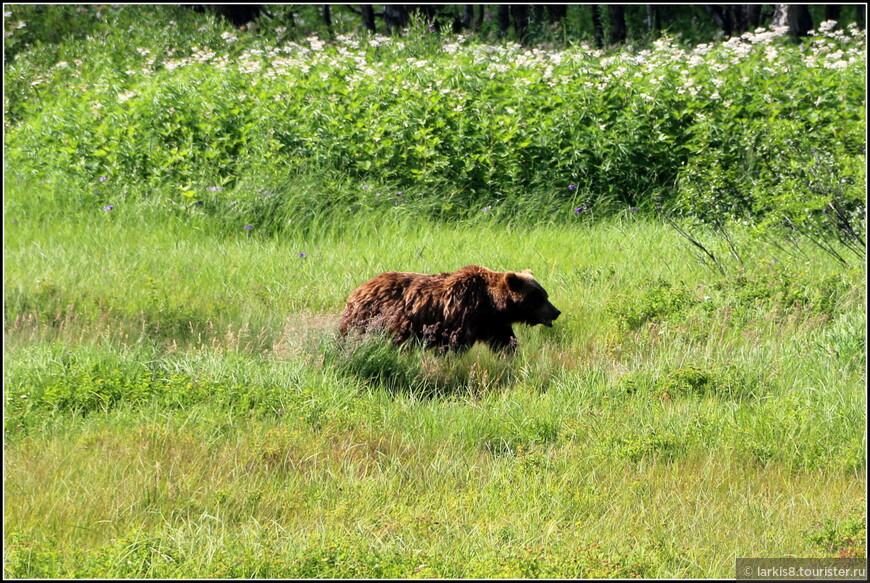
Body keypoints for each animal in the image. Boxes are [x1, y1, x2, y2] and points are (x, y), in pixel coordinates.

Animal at [338, 264, 564, 352]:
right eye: (539, 297)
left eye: (545, 295)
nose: (556, 312)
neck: (491, 305)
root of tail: (358, 289)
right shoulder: (461, 315)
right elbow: (452, 345)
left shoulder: (493, 324)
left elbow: (505, 342)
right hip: (372, 318)